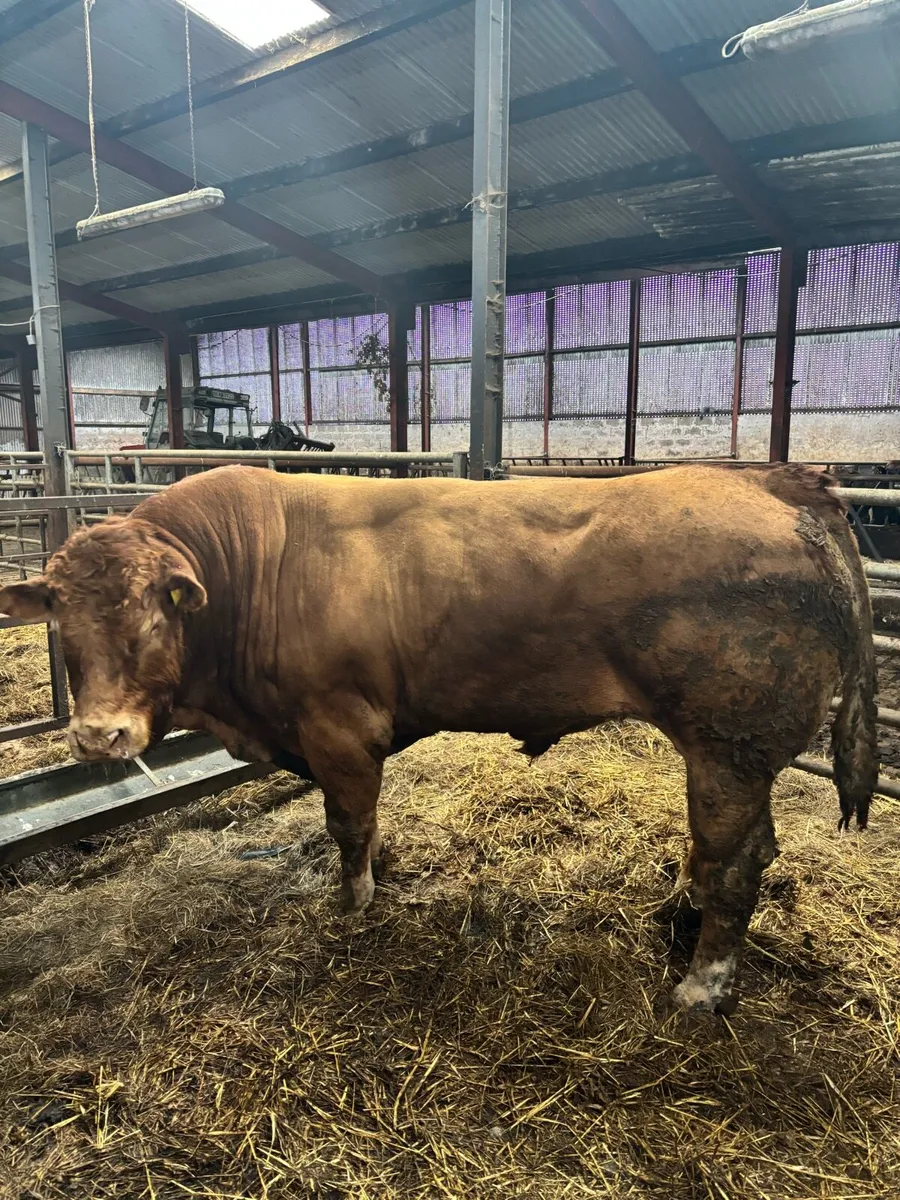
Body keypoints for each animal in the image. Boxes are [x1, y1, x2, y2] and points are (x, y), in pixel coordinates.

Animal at [0, 464, 877, 1015]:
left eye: (153, 614)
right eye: (63, 622)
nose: (99, 734)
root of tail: (773, 481)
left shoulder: (339, 725)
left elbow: (348, 824)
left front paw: (351, 903)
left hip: (730, 748)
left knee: (735, 863)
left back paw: (701, 987)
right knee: (730, 853)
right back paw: (676, 918)